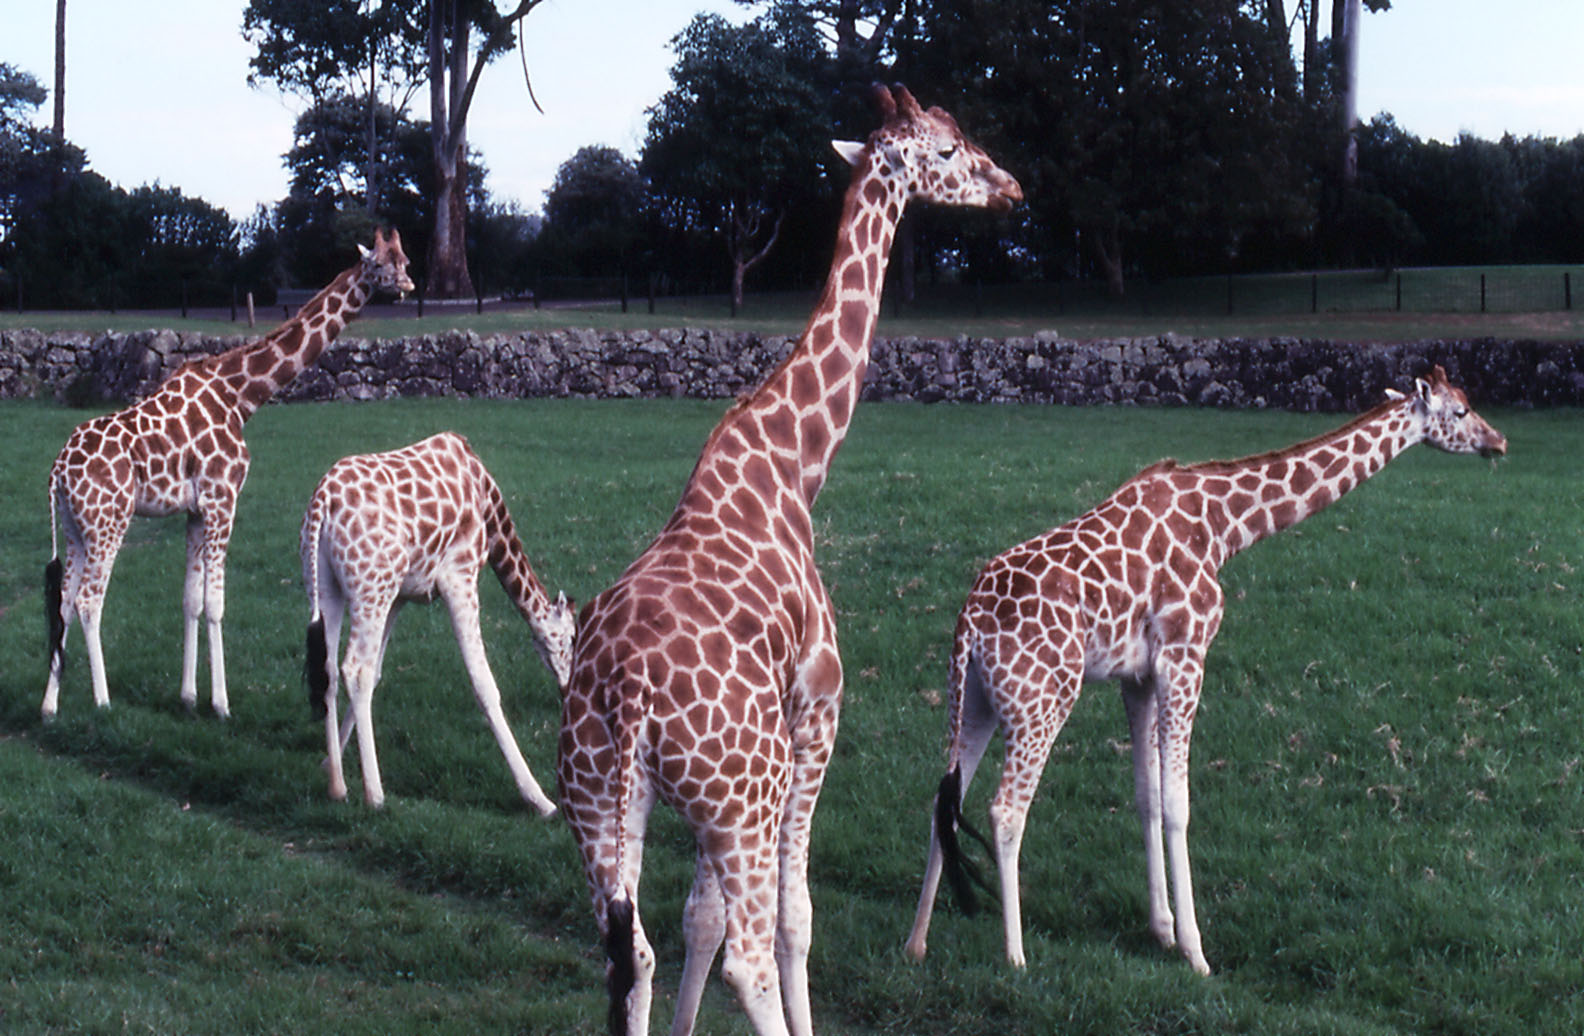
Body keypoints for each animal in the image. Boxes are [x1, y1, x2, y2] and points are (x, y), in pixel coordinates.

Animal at [42, 227, 415, 720]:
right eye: (381, 265)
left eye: (405, 259)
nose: (409, 286)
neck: (240, 394)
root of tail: (57, 471)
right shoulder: (223, 498)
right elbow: (215, 604)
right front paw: (220, 703)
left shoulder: (196, 510)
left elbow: (190, 600)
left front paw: (187, 697)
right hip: (108, 522)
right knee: (88, 600)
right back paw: (101, 700)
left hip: (74, 527)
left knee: (64, 601)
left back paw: (50, 704)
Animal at [301, 431, 576, 813]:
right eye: (570, 639)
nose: (566, 688)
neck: (488, 501)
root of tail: (322, 503)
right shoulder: (459, 574)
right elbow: (483, 683)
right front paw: (539, 798)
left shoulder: (400, 595)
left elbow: (378, 673)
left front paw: (329, 762)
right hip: (372, 587)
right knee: (355, 668)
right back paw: (375, 794)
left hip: (330, 585)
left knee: (330, 669)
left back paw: (338, 786)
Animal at [558, 85, 1021, 1036]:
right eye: (947, 149)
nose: (1010, 187)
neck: (793, 462)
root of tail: (625, 694)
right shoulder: (816, 716)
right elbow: (792, 920)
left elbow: (695, 919)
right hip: (745, 792)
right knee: (746, 957)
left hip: (601, 799)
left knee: (629, 952)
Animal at [904, 365, 1506, 975]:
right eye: (1460, 410)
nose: (1498, 442)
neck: (1224, 526)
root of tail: (969, 622)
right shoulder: (1185, 654)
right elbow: (1178, 805)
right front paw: (1195, 952)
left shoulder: (1137, 676)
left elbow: (1145, 797)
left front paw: (1161, 930)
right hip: (1042, 700)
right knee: (1005, 810)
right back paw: (1015, 957)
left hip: (973, 699)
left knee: (944, 801)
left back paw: (917, 943)